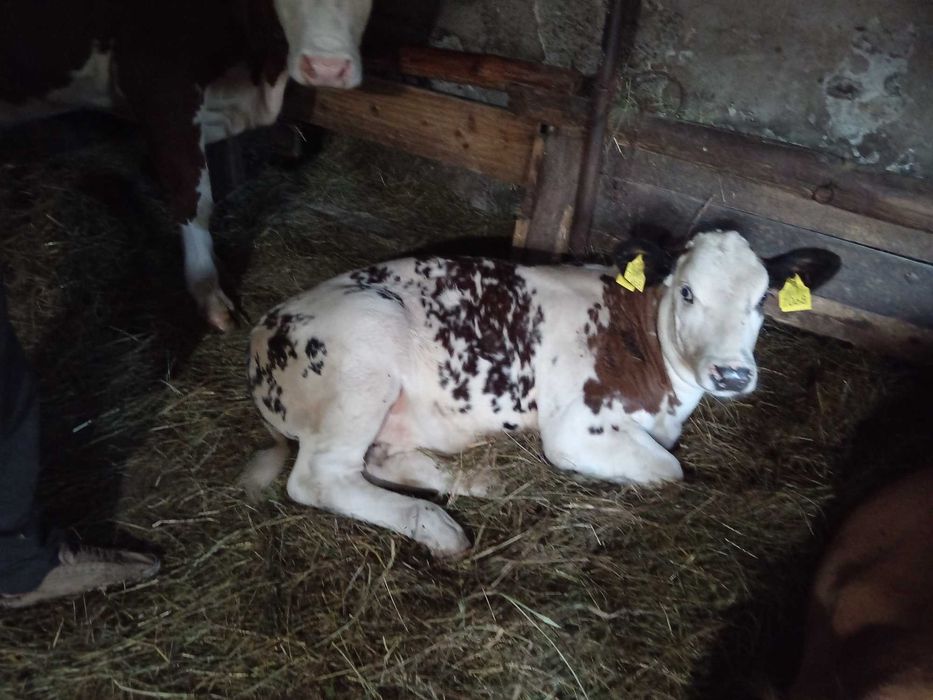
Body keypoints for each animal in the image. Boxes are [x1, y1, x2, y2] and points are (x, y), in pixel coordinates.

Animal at [242, 230, 841, 557]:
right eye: (688, 292)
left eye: (762, 300)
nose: (732, 374)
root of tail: (264, 326)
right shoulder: (579, 428)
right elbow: (671, 471)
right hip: (365, 356)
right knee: (321, 478)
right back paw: (437, 527)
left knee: (382, 460)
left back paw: (484, 480)